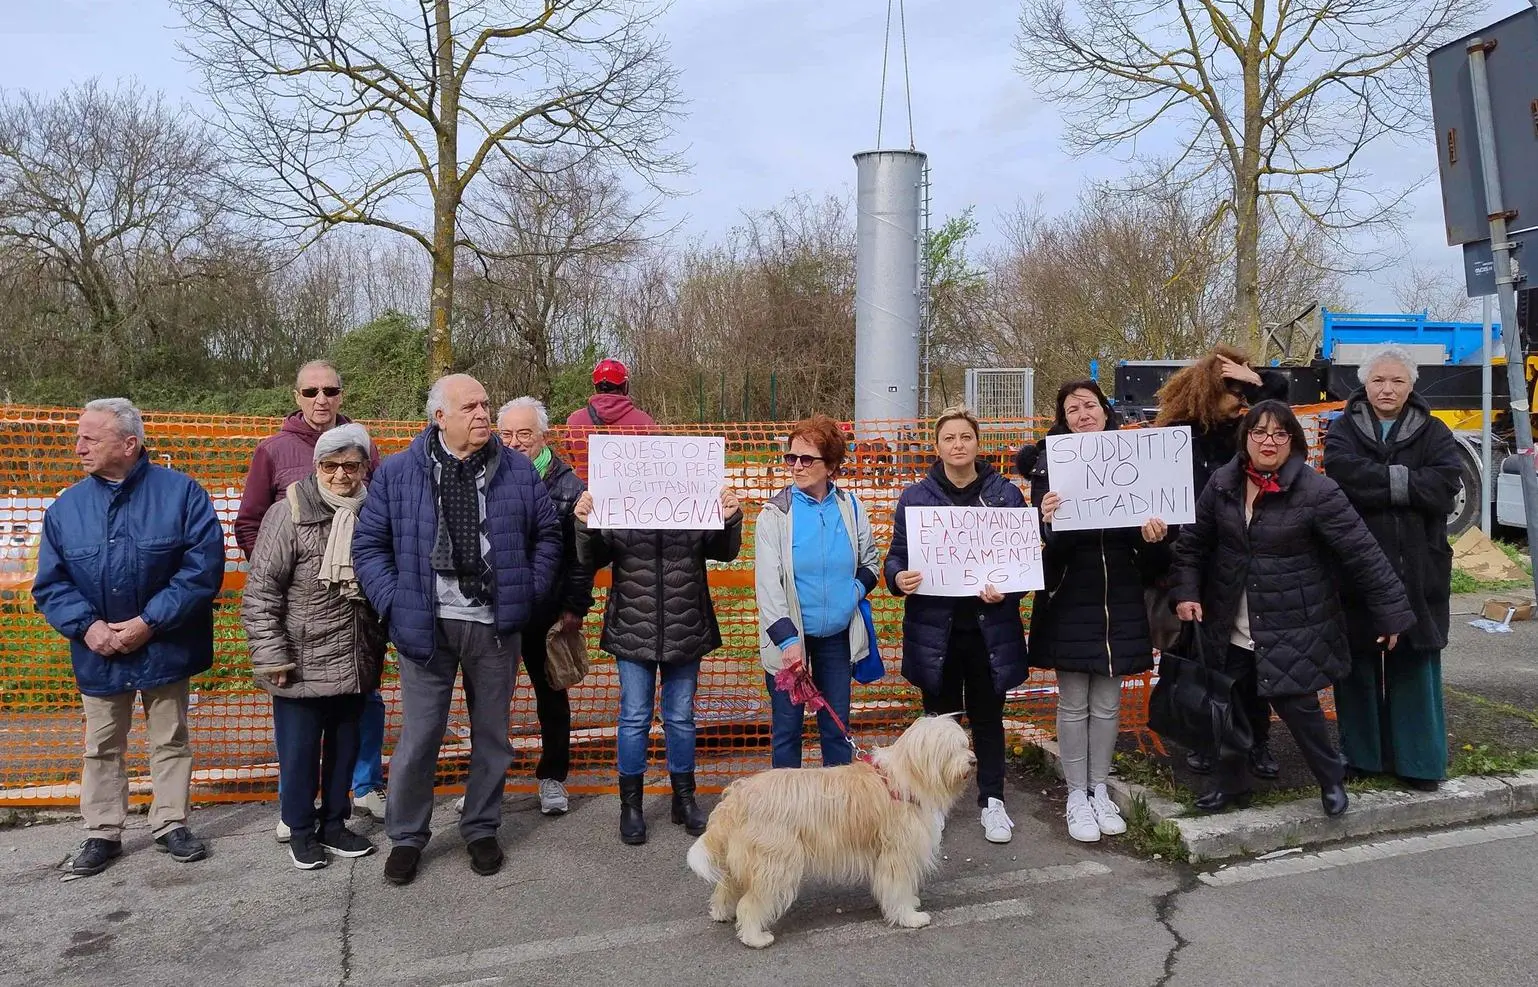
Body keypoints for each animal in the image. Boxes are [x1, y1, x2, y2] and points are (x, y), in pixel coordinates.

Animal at [685, 713, 972, 947]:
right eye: (951, 749)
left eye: (965, 744)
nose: (973, 760)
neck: (905, 777)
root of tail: (737, 797)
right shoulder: (897, 856)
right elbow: (897, 888)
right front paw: (910, 917)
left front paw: (910, 905)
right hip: (774, 864)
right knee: (750, 903)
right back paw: (755, 937)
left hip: (747, 859)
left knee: (726, 887)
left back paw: (721, 913)